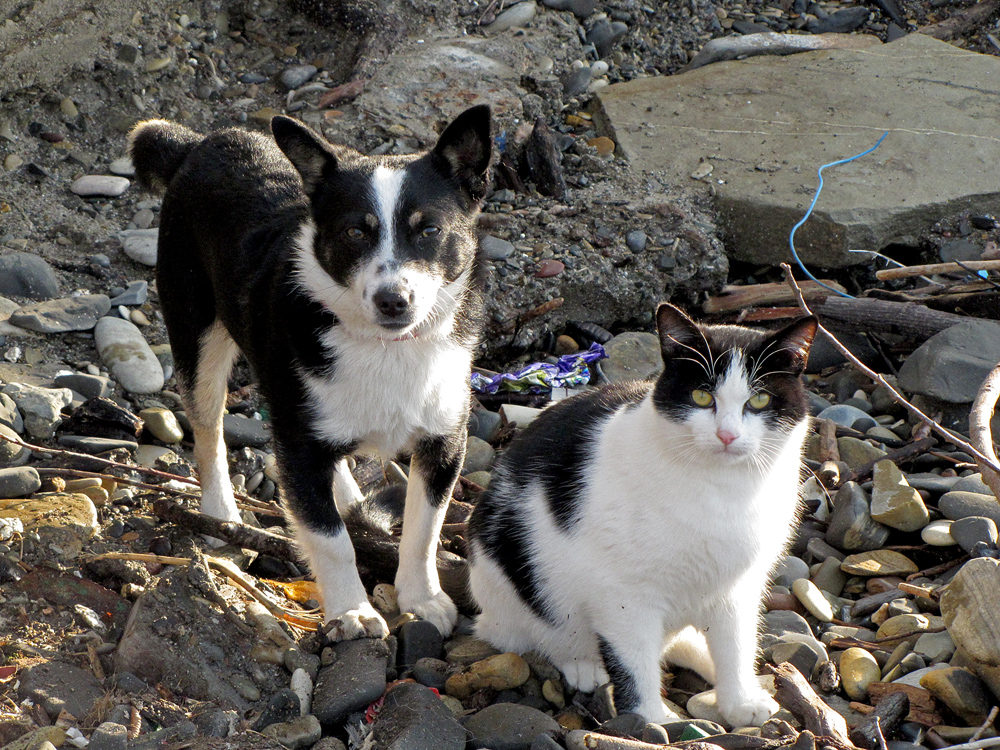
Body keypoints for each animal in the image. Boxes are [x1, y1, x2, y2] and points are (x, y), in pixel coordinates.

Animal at [129, 108, 492, 644]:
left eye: (428, 230)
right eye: (354, 233)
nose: (393, 301)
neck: (385, 347)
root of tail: (198, 144)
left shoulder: (444, 442)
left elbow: (423, 531)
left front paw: (423, 599)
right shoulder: (299, 448)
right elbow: (331, 539)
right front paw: (352, 611)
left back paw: (347, 494)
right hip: (198, 337)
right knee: (209, 432)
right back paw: (222, 516)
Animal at [464, 302, 816, 724]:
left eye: (759, 401)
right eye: (701, 396)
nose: (727, 435)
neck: (721, 490)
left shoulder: (737, 588)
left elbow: (735, 643)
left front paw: (740, 702)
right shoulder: (624, 596)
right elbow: (633, 660)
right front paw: (653, 721)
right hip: (510, 585)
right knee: (539, 635)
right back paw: (583, 665)